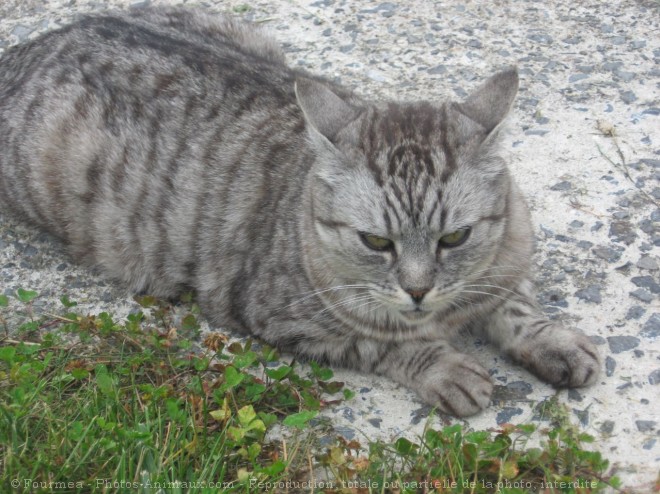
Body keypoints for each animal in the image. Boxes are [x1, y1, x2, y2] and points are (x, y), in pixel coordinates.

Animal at [0, 7, 600, 416]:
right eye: (376, 242)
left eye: (454, 238)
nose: (418, 290)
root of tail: (33, 46)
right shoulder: (284, 316)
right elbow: (388, 342)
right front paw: (445, 366)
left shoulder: (508, 261)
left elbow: (516, 304)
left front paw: (550, 339)